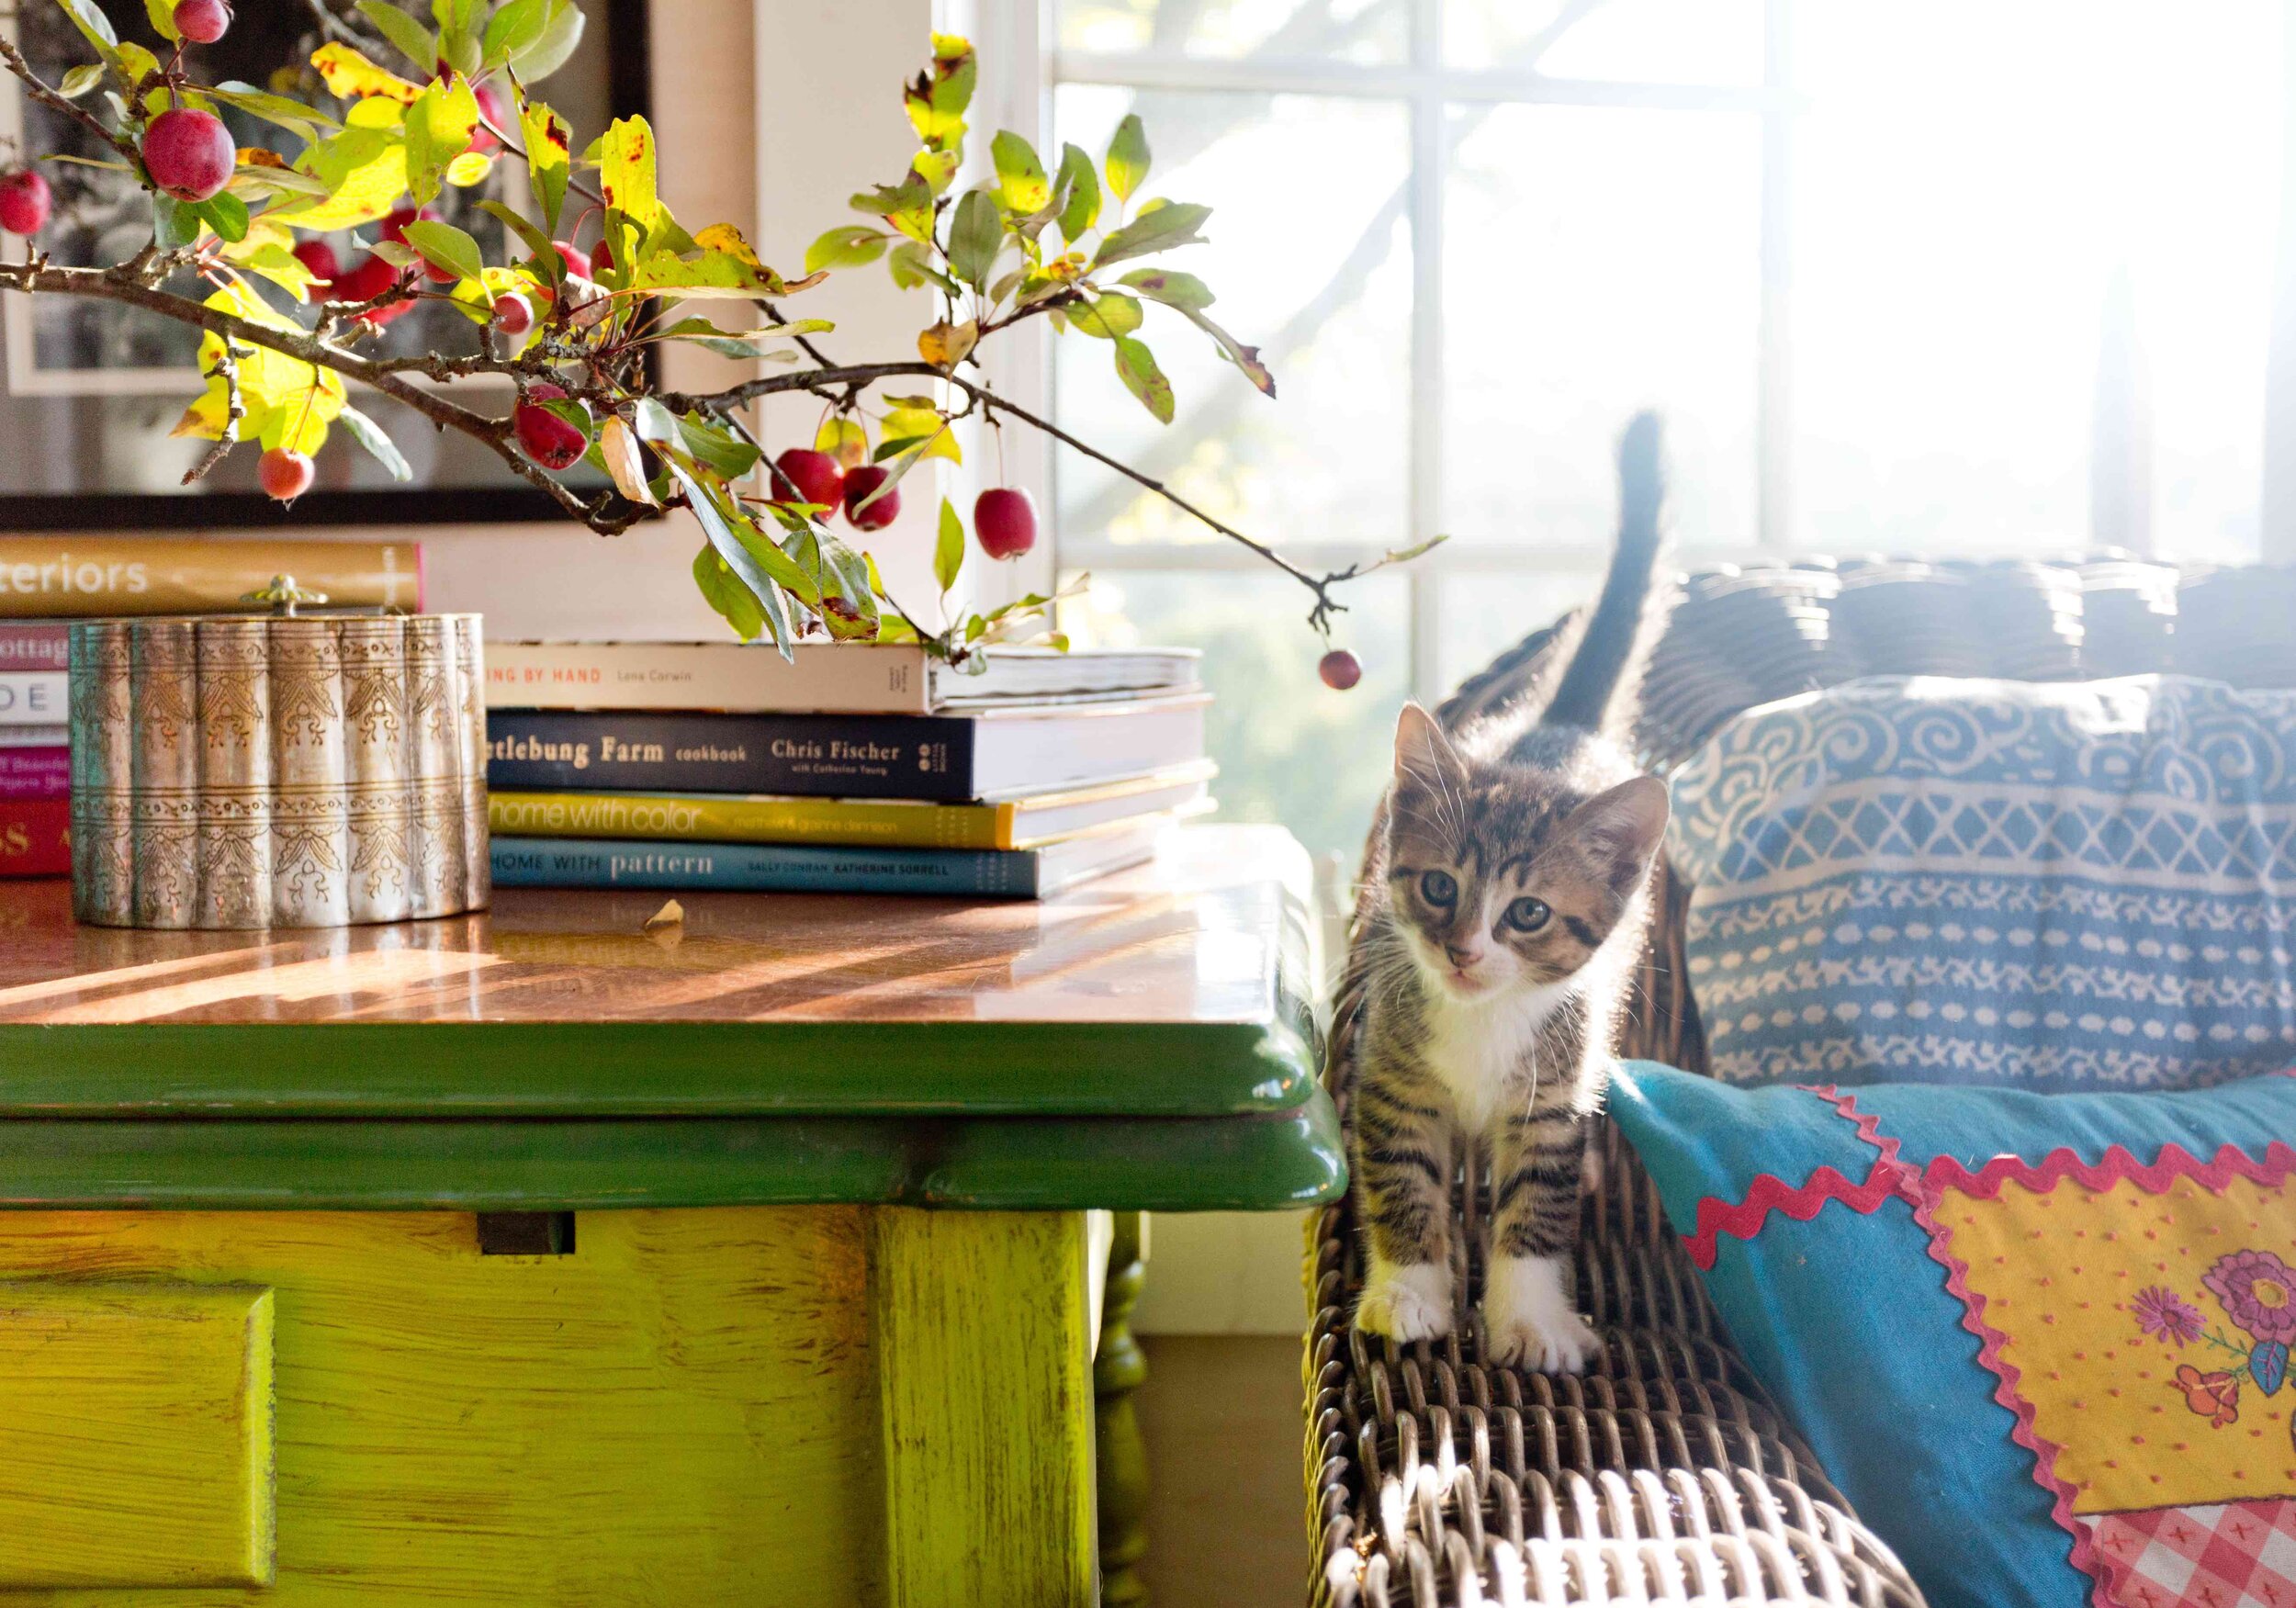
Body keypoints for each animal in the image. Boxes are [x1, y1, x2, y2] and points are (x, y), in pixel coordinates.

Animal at [1341, 410, 1671, 1368]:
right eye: (1438, 886)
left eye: (1528, 913)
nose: (1462, 951)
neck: (1482, 1019)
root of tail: (1558, 727)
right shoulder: (1391, 1081)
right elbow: (1403, 1186)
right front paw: (1410, 1293)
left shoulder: (1549, 1104)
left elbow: (1534, 1210)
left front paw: (1532, 1320)